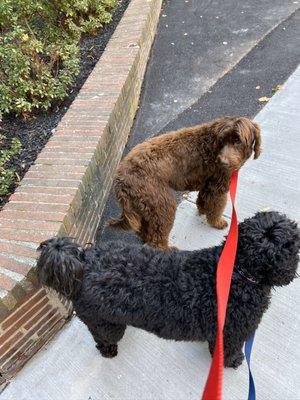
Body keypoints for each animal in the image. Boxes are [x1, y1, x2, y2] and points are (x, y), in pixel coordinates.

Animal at [36, 212, 298, 368]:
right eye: (293, 243)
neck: (236, 271)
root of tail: (83, 259)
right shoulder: (233, 333)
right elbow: (228, 351)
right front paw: (232, 362)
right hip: (104, 324)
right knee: (102, 338)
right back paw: (108, 351)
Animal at [108, 115, 260, 250]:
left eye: (238, 141)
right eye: (222, 140)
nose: (222, 162)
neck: (213, 145)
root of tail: (120, 179)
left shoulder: (208, 183)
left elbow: (203, 200)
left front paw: (202, 210)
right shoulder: (218, 186)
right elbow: (216, 207)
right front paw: (217, 222)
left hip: (146, 208)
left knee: (146, 232)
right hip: (161, 204)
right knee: (157, 239)